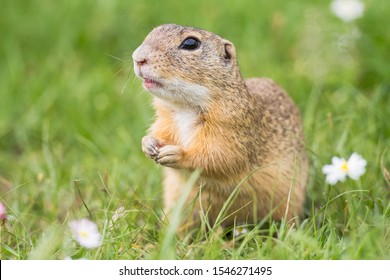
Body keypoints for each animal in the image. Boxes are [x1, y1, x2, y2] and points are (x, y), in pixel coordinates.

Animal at [133, 24, 310, 231]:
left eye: (190, 43)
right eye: (153, 31)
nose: (138, 58)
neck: (184, 108)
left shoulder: (231, 131)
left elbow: (218, 157)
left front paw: (176, 154)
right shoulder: (165, 121)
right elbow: (159, 133)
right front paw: (148, 144)